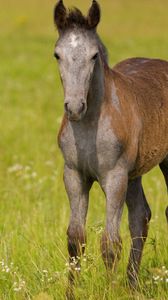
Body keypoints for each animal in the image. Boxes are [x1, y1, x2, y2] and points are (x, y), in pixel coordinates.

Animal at [53, 0, 168, 292]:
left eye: (94, 55)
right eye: (57, 55)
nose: (74, 107)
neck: (90, 123)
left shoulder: (114, 177)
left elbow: (110, 243)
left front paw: (110, 291)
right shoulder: (74, 175)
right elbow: (75, 238)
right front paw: (71, 293)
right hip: (134, 174)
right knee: (140, 217)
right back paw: (133, 285)